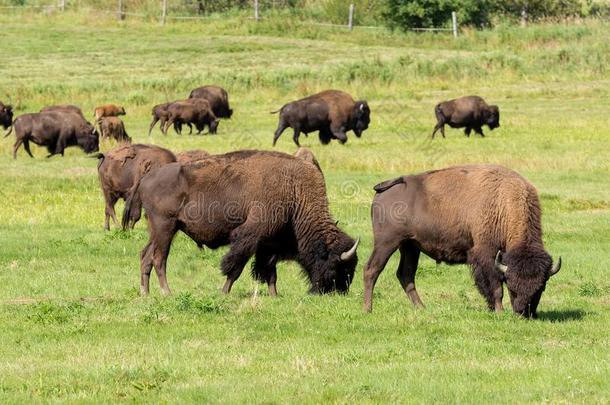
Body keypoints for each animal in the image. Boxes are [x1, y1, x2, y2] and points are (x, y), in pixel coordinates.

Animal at [121, 150, 358, 296]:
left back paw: (145, 292)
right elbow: (235, 267)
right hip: (166, 228)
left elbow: (269, 272)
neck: (294, 189)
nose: (338, 292)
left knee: (145, 256)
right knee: (159, 259)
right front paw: (224, 292)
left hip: (158, 230)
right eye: (339, 265)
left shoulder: (269, 244)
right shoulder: (250, 237)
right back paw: (167, 292)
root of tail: (145, 178)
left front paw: (275, 295)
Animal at [360, 163, 560, 318]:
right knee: (372, 270)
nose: (524, 313)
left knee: (405, 275)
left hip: (410, 246)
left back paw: (422, 308)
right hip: (386, 243)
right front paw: (499, 311)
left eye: (541, 288)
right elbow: (495, 287)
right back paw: (368, 309)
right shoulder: (486, 255)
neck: (503, 204)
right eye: (512, 286)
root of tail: (386, 188)